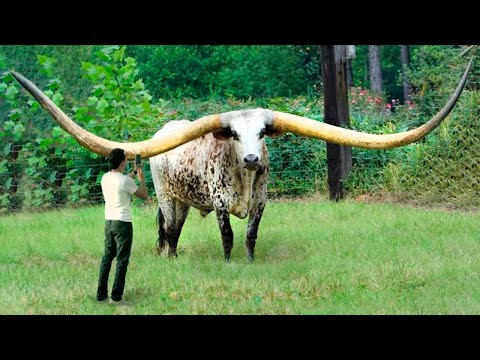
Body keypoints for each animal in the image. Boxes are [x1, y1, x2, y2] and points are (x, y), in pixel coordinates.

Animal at [10, 59, 472, 262]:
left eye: (263, 133)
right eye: (233, 133)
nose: (251, 157)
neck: (245, 180)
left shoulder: (263, 203)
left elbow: (250, 235)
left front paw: (249, 262)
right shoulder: (217, 203)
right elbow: (229, 236)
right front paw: (230, 264)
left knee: (171, 228)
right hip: (167, 196)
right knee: (170, 229)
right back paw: (170, 257)